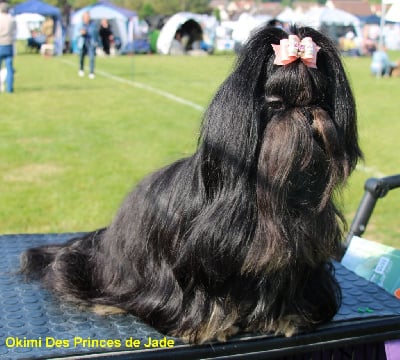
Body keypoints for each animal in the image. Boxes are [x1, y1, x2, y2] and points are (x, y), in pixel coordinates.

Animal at [21, 25, 362, 344]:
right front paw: (208, 326)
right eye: (276, 103)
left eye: (320, 100)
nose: (307, 113)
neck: (268, 198)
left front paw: (287, 317)